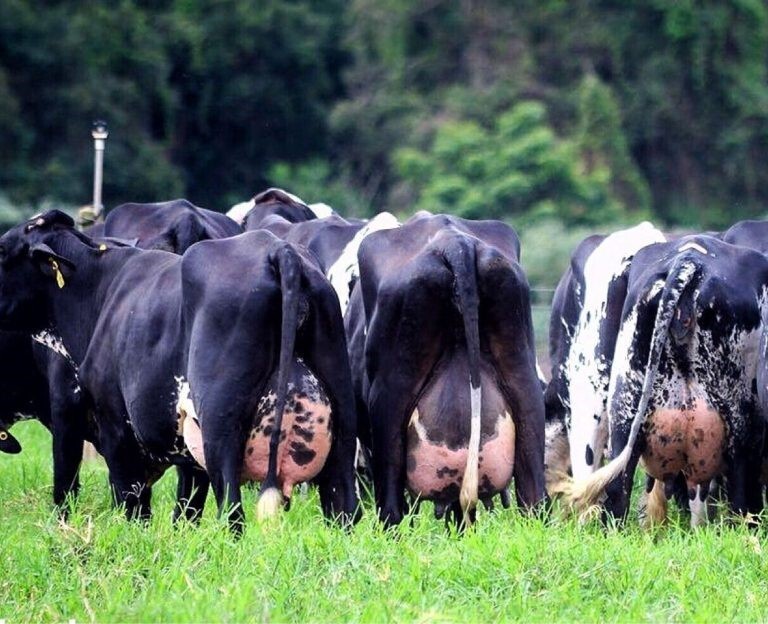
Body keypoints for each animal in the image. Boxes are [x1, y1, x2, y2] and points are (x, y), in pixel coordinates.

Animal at [0, 210, 359, 530]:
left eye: (2, 249)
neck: (101, 291)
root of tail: (278, 249)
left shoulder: (107, 425)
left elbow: (120, 503)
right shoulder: (184, 448)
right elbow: (185, 512)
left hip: (220, 427)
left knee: (233, 512)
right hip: (341, 424)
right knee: (344, 508)